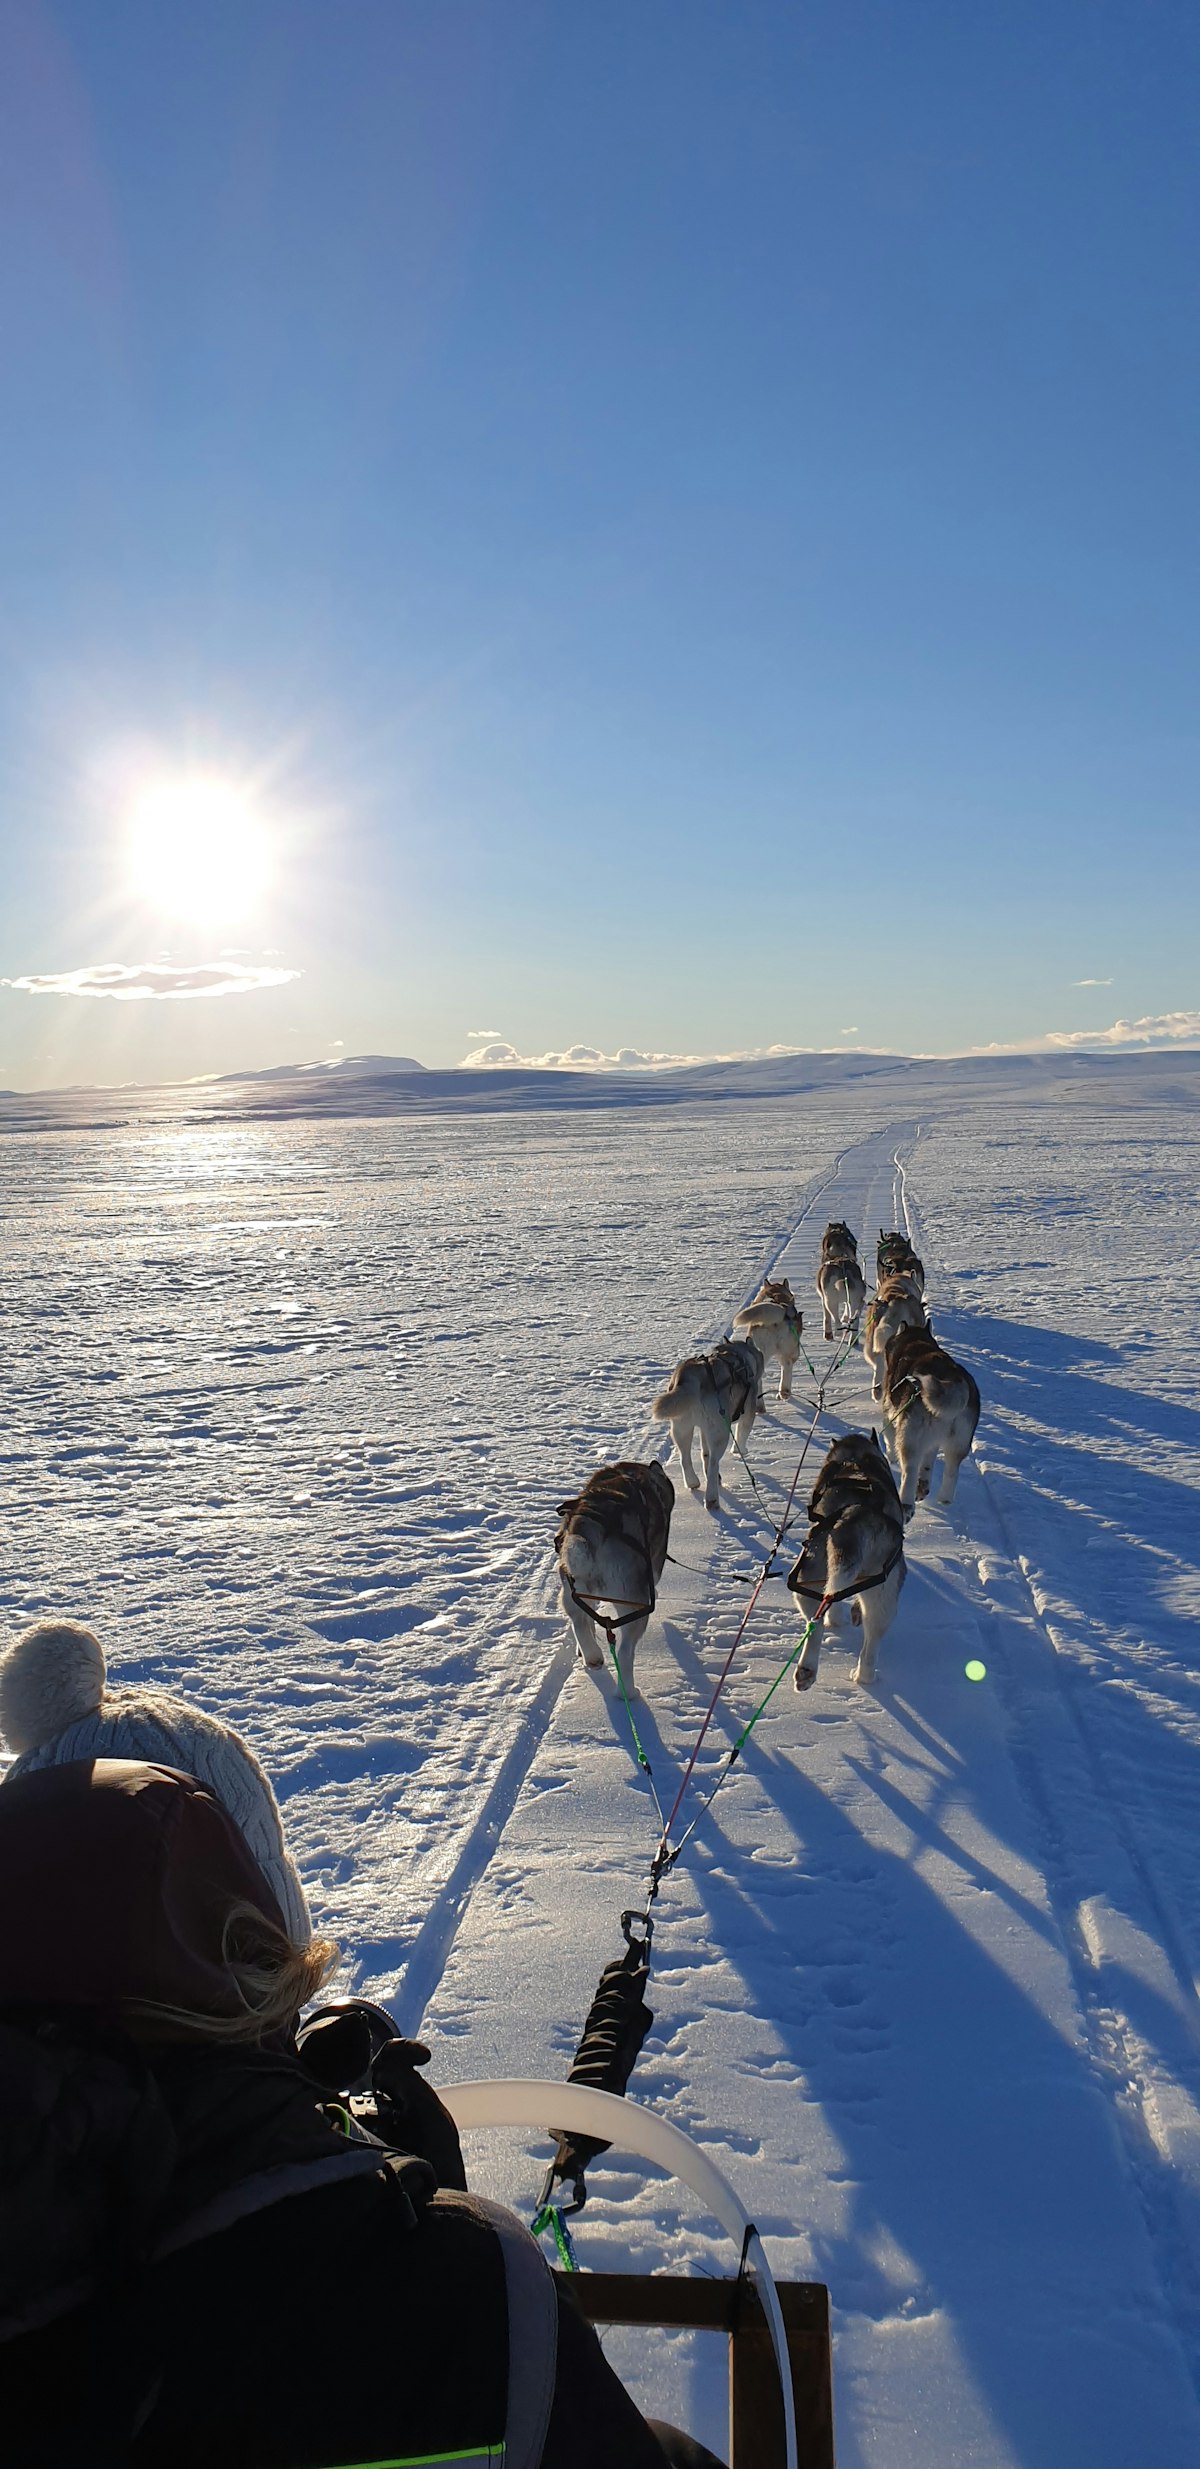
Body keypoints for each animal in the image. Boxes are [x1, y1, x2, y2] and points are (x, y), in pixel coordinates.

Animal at [555, 1461, 676, 1698]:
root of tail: (590, 1533)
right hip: (633, 1606)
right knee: (625, 1652)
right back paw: (628, 1692)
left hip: (570, 1590)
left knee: (578, 1622)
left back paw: (591, 1655)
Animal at [651, 1343, 765, 1511]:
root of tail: (692, 1377)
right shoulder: (748, 1412)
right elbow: (742, 1434)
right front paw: (741, 1451)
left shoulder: (704, 1429)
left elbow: (705, 1453)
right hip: (720, 1432)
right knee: (713, 1464)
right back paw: (712, 1499)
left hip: (682, 1428)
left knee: (685, 1459)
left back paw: (693, 1481)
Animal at [879, 1323, 972, 1511]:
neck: (916, 1341)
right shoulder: (933, 1442)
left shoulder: (889, 1412)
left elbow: (889, 1438)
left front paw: (890, 1458)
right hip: (958, 1445)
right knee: (950, 1472)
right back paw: (940, 1497)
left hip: (910, 1439)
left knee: (910, 1472)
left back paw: (906, 1504)